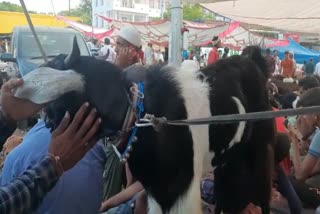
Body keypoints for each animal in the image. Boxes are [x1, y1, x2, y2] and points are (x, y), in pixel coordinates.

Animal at [16, 39, 272, 213]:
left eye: (58, 101)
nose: (46, 120)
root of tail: (252, 61)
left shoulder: (181, 191)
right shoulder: (158, 191)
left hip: (261, 151)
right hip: (228, 161)